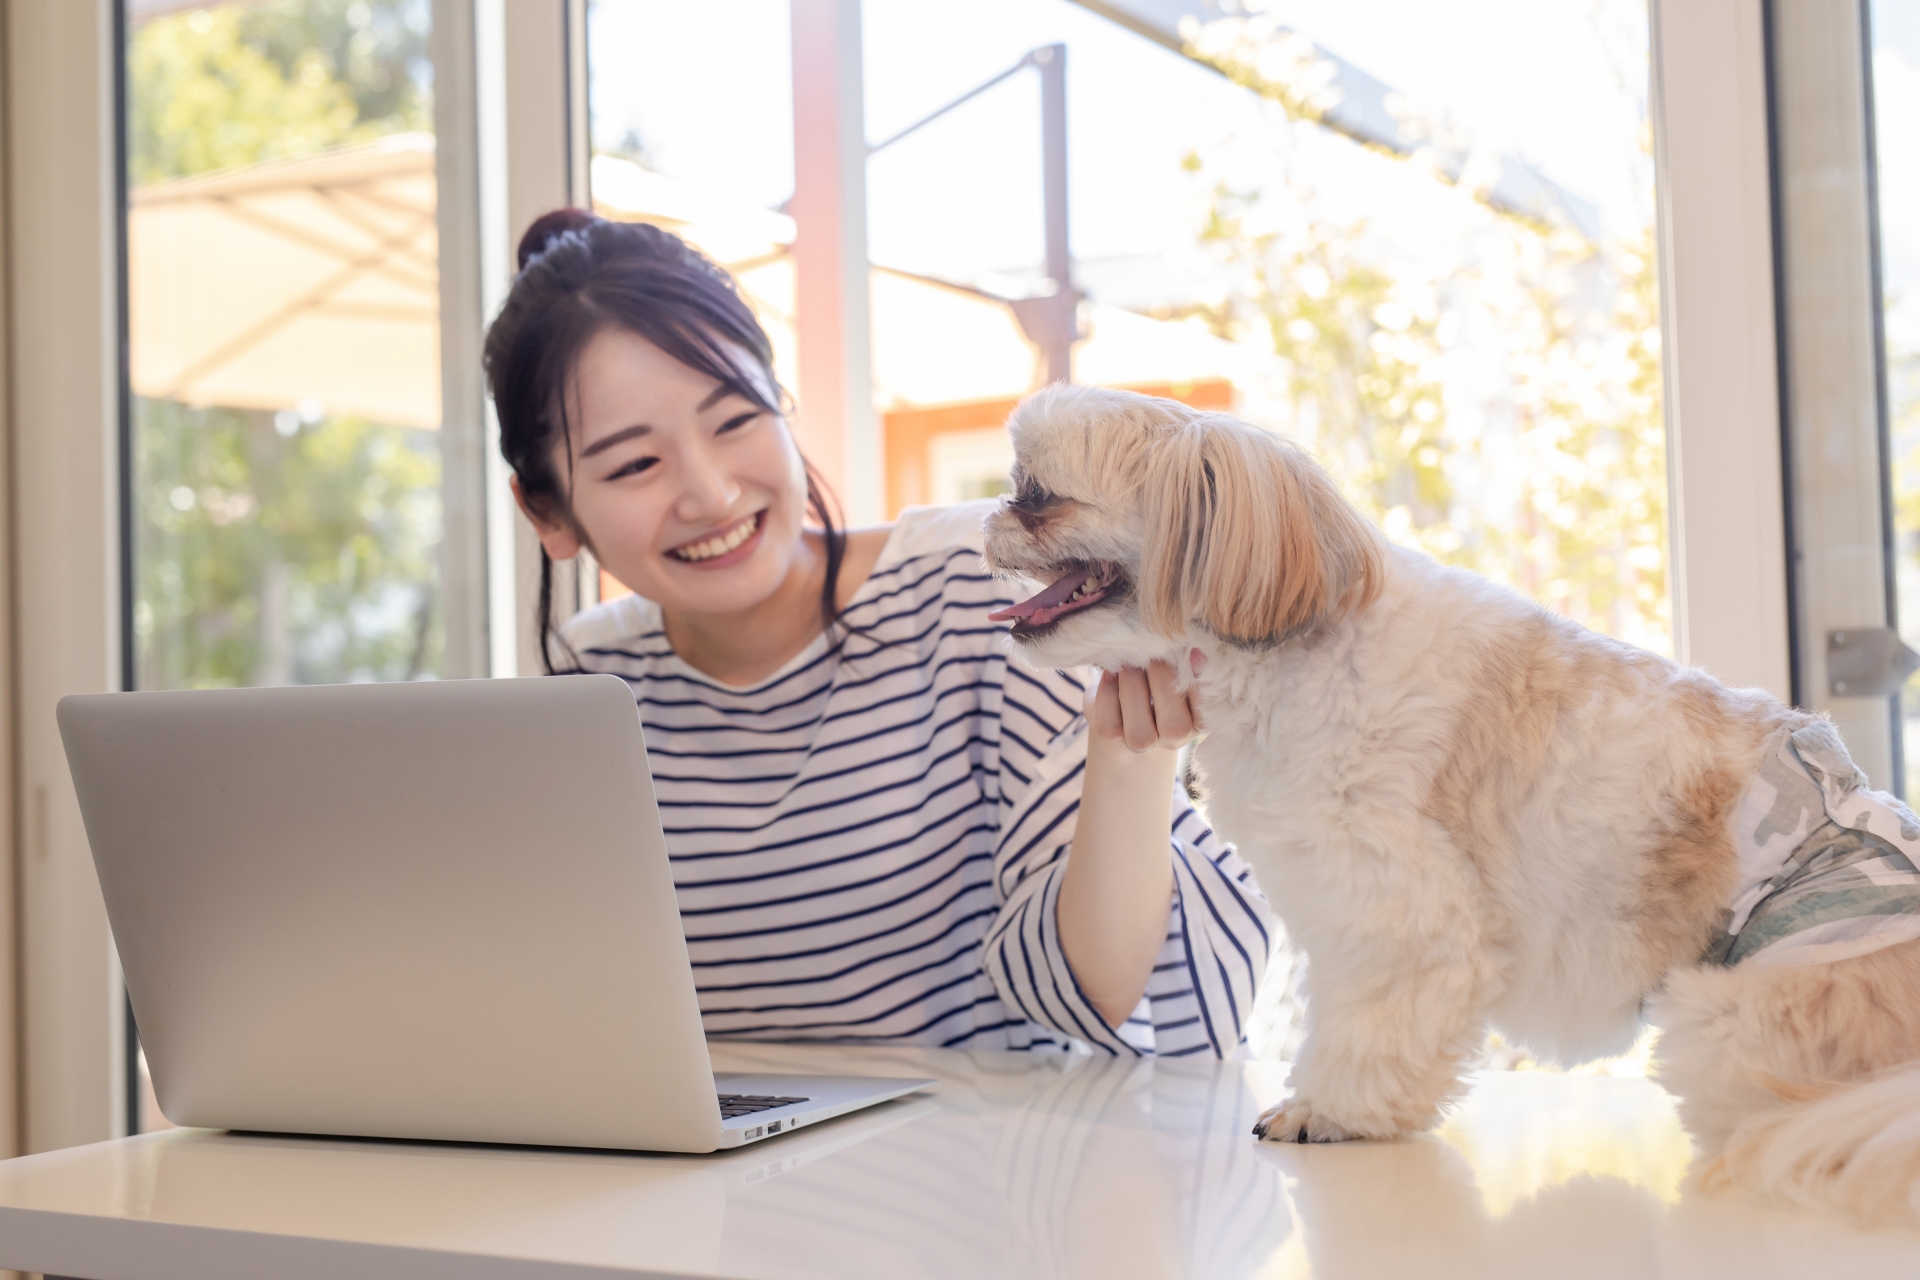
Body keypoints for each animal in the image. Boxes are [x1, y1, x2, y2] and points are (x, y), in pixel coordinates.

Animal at [983, 385, 1920, 1228]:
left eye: (1037, 495)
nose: (990, 514)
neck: (1294, 647)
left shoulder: (1394, 906)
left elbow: (1371, 1022)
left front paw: (1329, 1111)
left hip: (1730, 1012)